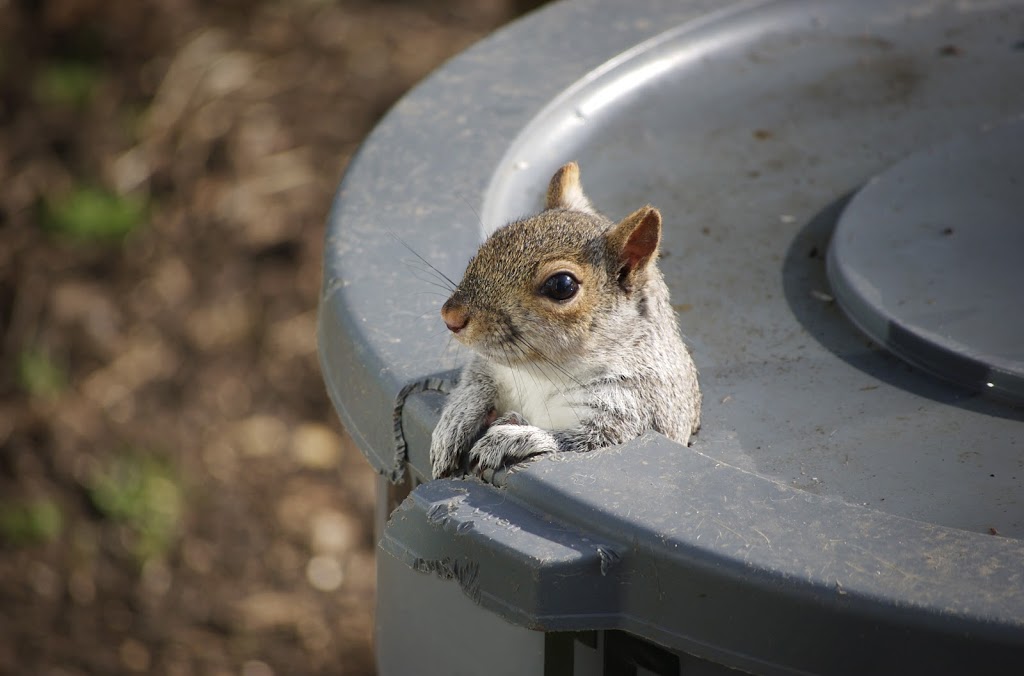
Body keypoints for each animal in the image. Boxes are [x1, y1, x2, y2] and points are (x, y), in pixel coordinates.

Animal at [428, 162, 700, 481]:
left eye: (562, 285)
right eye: (494, 241)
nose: (451, 316)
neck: (541, 375)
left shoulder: (633, 411)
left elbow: (582, 444)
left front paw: (514, 438)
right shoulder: (492, 369)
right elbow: (474, 382)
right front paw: (455, 420)